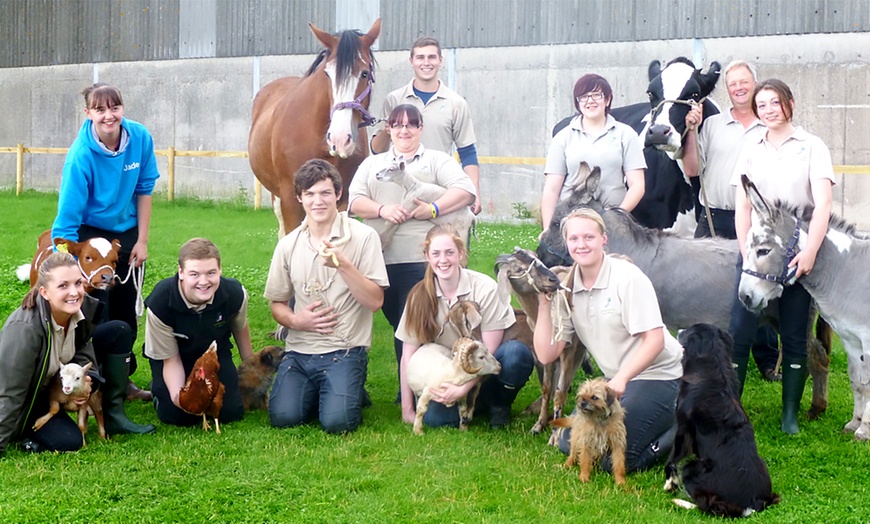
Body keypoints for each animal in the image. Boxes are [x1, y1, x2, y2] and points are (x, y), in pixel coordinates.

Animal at [668, 324, 784, 516]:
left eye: (689, 330)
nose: (678, 331)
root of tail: (751, 504)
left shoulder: (683, 427)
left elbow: (673, 457)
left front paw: (670, 484)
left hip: (693, 467)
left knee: (707, 505)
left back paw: (680, 502)